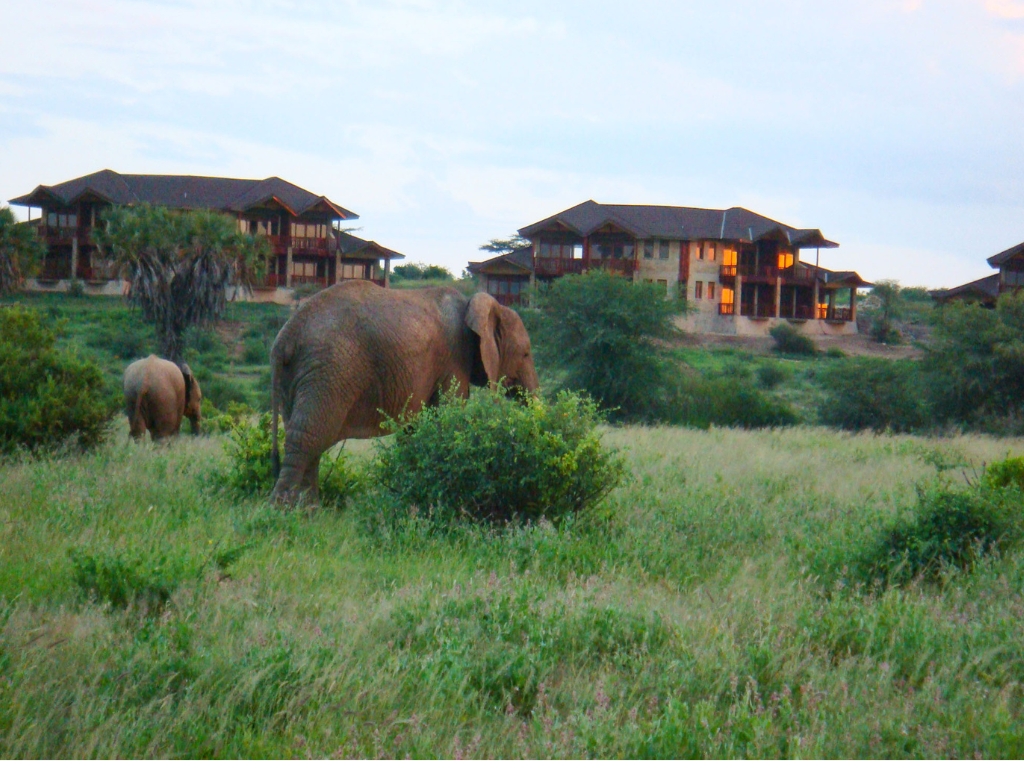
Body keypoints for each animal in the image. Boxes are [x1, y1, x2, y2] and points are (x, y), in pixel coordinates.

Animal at [272, 280, 544, 505]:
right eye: (526, 354)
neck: (475, 305)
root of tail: (285, 338)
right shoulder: (454, 359)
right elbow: (447, 416)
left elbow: (416, 428)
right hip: (329, 371)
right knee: (308, 436)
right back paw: (283, 512)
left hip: (300, 375)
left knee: (309, 438)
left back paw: (309, 513)